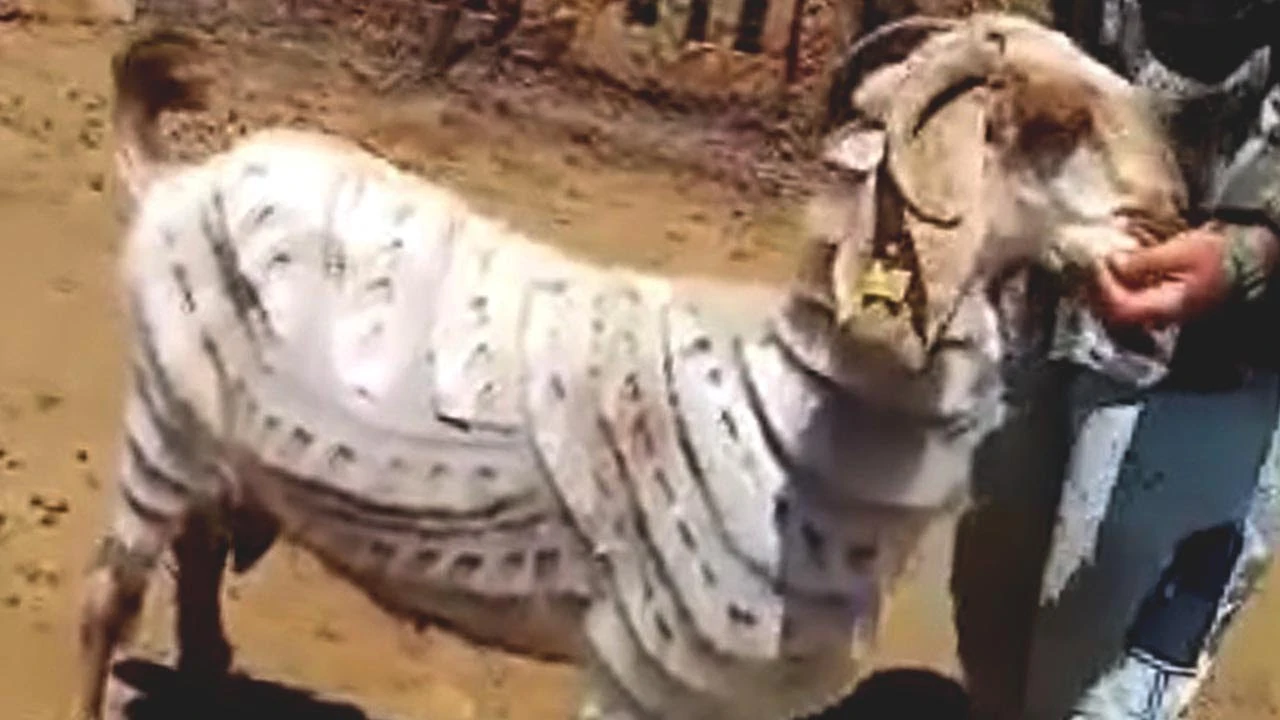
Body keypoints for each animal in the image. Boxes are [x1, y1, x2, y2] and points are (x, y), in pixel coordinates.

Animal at [78, 14, 1187, 720]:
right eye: (1050, 127)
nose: (1173, 220)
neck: (790, 411)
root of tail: (184, 176)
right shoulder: (643, 673)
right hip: (161, 422)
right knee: (107, 600)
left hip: (215, 446)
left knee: (198, 559)